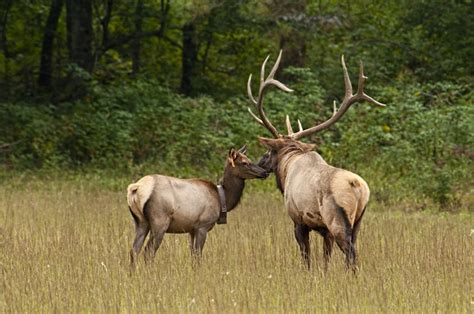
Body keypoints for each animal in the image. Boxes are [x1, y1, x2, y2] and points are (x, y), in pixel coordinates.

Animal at [126, 146, 266, 266]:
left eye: (249, 160)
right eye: (244, 162)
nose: (264, 172)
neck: (222, 199)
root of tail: (136, 188)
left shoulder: (191, 229)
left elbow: (192, 255)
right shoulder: (203, 226)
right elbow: (198, 255)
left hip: (141, 222)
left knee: (134, 250)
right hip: (159, 221)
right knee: (148, 251)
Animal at [248, 50, 386, 272]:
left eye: (269, 151)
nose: (259, 165)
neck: (287, 167)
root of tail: (357, 186)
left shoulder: (298, 220)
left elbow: (306, 257)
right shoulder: (324, 230)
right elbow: (326, 258)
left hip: (336, 219)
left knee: (350, 254)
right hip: (358, 220)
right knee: (353, 250)